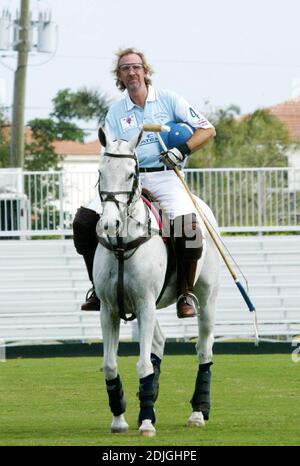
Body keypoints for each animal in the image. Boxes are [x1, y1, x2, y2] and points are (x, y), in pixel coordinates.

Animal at [94, 127, 220, 436]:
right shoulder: (109, 309)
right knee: (159, 343)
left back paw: (198, 412)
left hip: (207, 298)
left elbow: (142, 366)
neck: (121, 245)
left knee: (204, 349)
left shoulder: (145, 304)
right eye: (101, 171)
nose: (110, 224)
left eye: (132, 173)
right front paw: (120, 418)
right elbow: (110, 365)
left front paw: (147, 422)